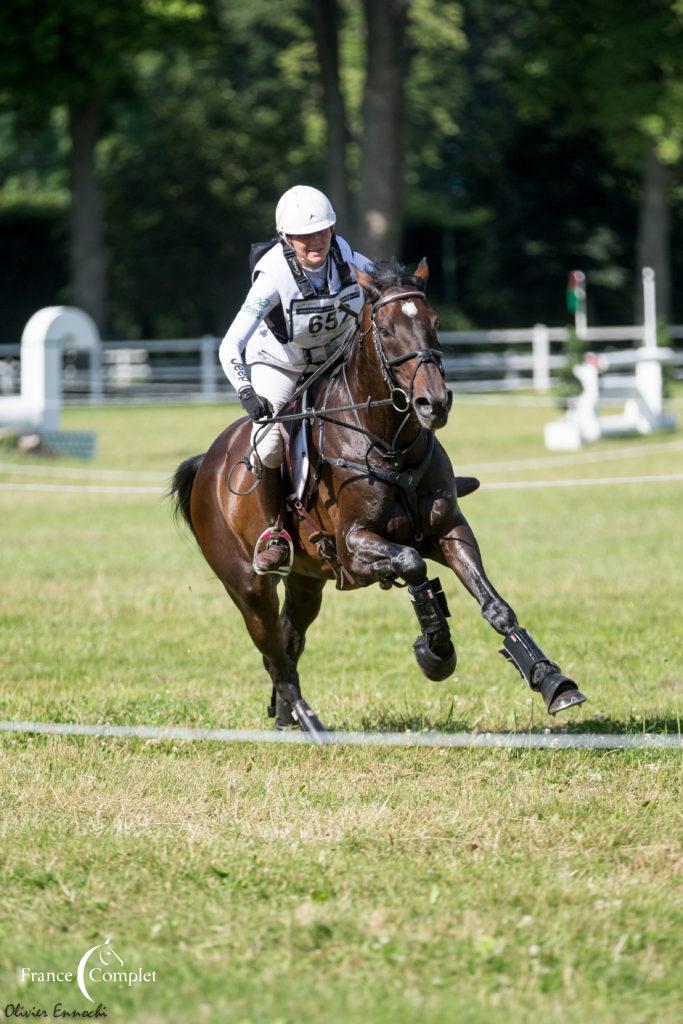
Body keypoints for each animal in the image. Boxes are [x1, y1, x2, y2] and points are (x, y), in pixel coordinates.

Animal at [172, 262, 589, 745]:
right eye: (386, 331)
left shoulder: (448, 530)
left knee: (288, 640)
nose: (434, 403)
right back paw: (310, 722)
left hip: (306, 582)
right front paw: (436, 651)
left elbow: (493, 604)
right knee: (272, 646)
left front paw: (551, 680)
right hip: (247, 585)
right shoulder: (355, 548)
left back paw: (285, 716)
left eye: (434, 322)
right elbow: (412, 565)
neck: (386, 442)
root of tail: (207, 463)